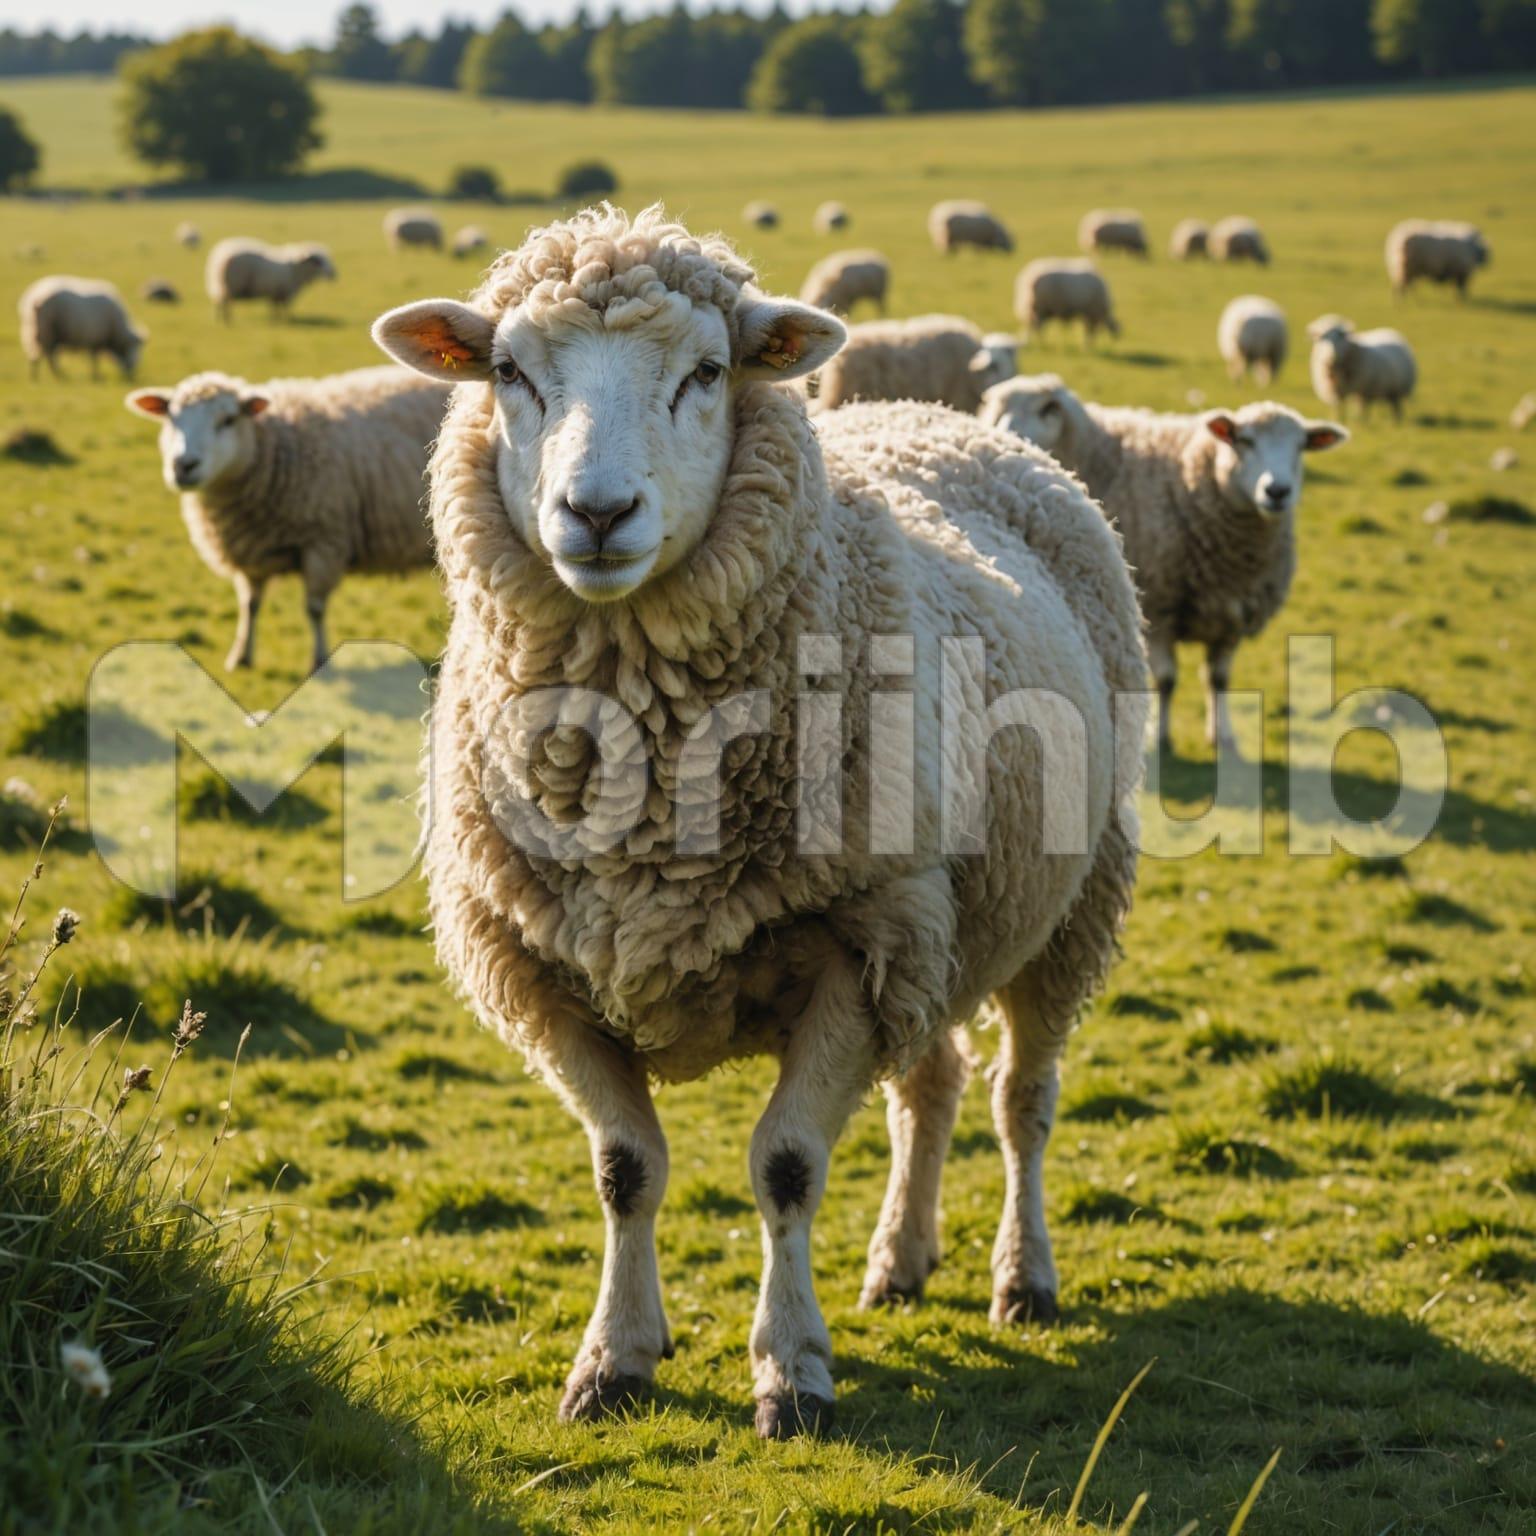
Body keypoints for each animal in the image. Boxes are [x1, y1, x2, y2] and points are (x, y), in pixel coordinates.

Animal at [124, 366, 448, 672]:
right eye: (172, 418)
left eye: (228, 420)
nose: (184, 465)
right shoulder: (251, 549)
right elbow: (250, 605)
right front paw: (240, 657)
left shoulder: (324, 540)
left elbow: (314, 608)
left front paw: (319, 660)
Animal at [205, 238, 337, 323]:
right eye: (317, 261)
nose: (333, 274)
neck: (296, 268)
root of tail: (218, 256)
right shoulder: (285, 292)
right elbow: (285, 308)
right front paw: (287, 320)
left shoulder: (275, 293)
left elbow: (275, 307)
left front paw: (275, 319)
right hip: (229, 286)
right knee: (225, 304)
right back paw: (228, 321)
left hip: (218, 286)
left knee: (218, 303)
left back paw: (219, 320)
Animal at [980, 373, 1346, 752]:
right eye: (1244, 441)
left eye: (1301, 446)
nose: (1277, 491)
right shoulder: (1160, 607)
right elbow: (1167, 680)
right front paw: (1161, 738)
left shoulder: (1233, 613)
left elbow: (1219, 679)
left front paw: (1223, 735)